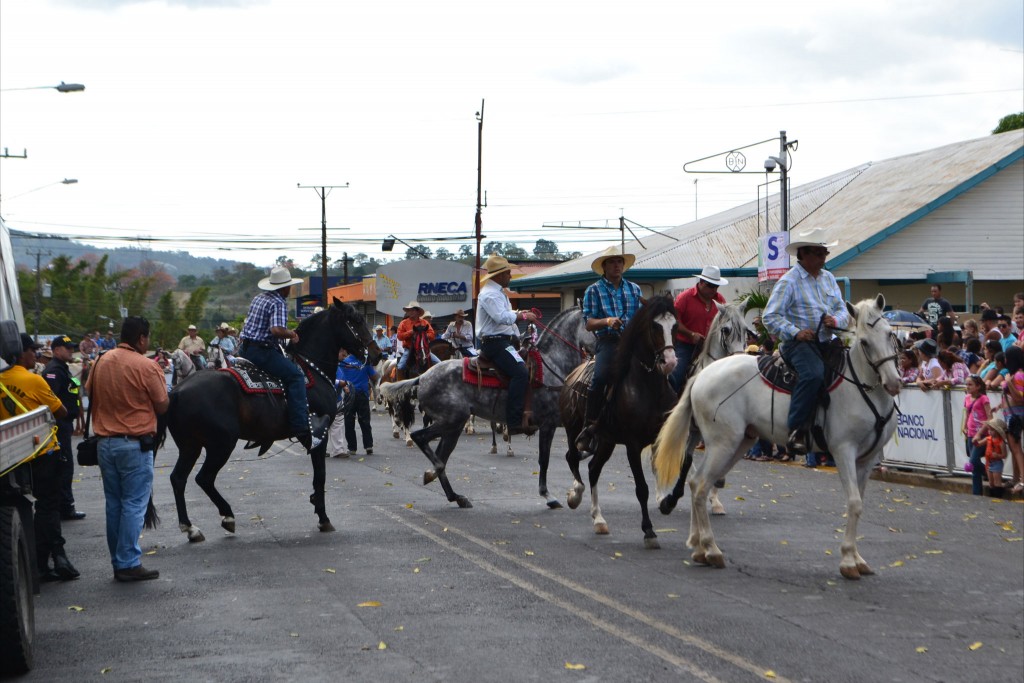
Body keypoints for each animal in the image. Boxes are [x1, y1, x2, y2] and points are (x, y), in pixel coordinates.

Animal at [157, 301, 382, 540]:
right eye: (357, 320)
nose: (378, 354)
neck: (312, 368)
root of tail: (176, 391)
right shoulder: (317, 434)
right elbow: (320, 476)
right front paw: (323, 518)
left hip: (190, 446)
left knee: (178, 479)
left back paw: (190, 528)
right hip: (220, 445)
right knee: (204, 478)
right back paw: (227, 517)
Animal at [651, 296, 901, 581]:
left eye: (890, 334)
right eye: (865, 342)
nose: (894, 383)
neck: (861, 387)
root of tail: (703, 375)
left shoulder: (867, 460)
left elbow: (858, 504)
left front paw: (857, 559)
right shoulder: (843, 451)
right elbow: (854, 502)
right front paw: (848, 561)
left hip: (740, 442)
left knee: (697, 483)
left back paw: (698, 546)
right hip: (722, 442)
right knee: (700, 483)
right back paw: (710, 549)